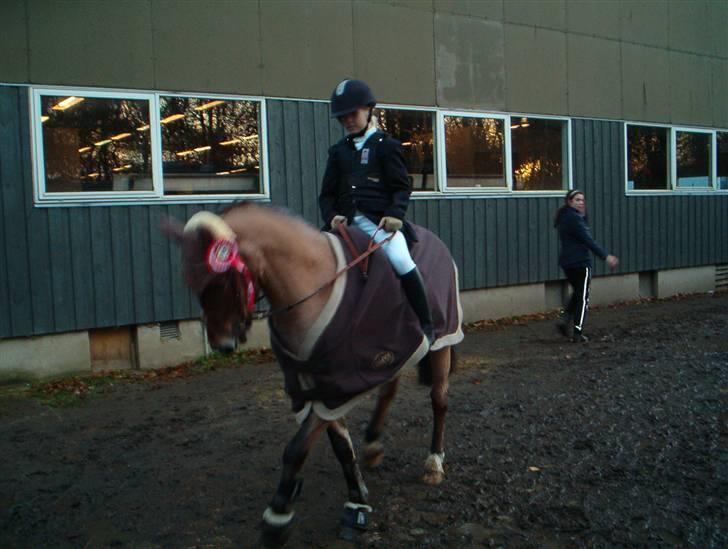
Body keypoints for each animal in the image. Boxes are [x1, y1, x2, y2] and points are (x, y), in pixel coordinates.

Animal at [164, 202, 463, 546]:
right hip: (398, 351)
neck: (312, 285)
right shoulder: (316, 385)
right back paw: (373, 445)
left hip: (440, 343)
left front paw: (277, 517)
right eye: (192, 281)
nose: (222, 344)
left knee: (439, 400)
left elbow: (295, 450)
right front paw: (356, 499)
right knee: (389, 391)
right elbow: (341, 448)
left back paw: (434, 463)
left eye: (224, 279)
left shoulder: (335, 387)